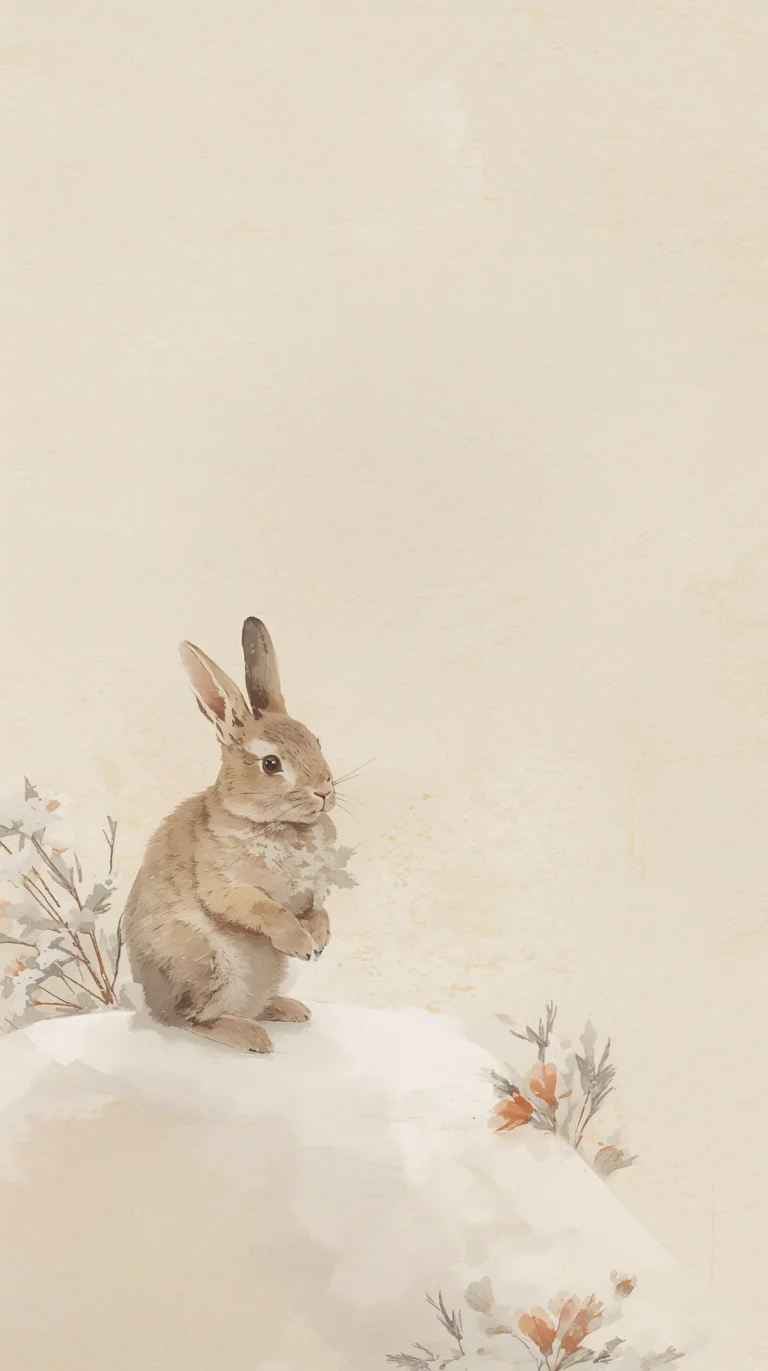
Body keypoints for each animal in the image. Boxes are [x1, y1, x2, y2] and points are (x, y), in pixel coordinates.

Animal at [122, 617, 350, 1053]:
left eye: (316, 742)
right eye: (271, 763)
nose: (324, 791)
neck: (279, 824)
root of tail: (152, 1002)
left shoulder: (311, 894)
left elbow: (318, 911)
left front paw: (318, 939)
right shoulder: (227, 887)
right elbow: (265, 910)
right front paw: (300, 943)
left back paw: (287, 1009)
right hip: (202, 963)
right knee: (187, 1018)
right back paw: (250, 1036)